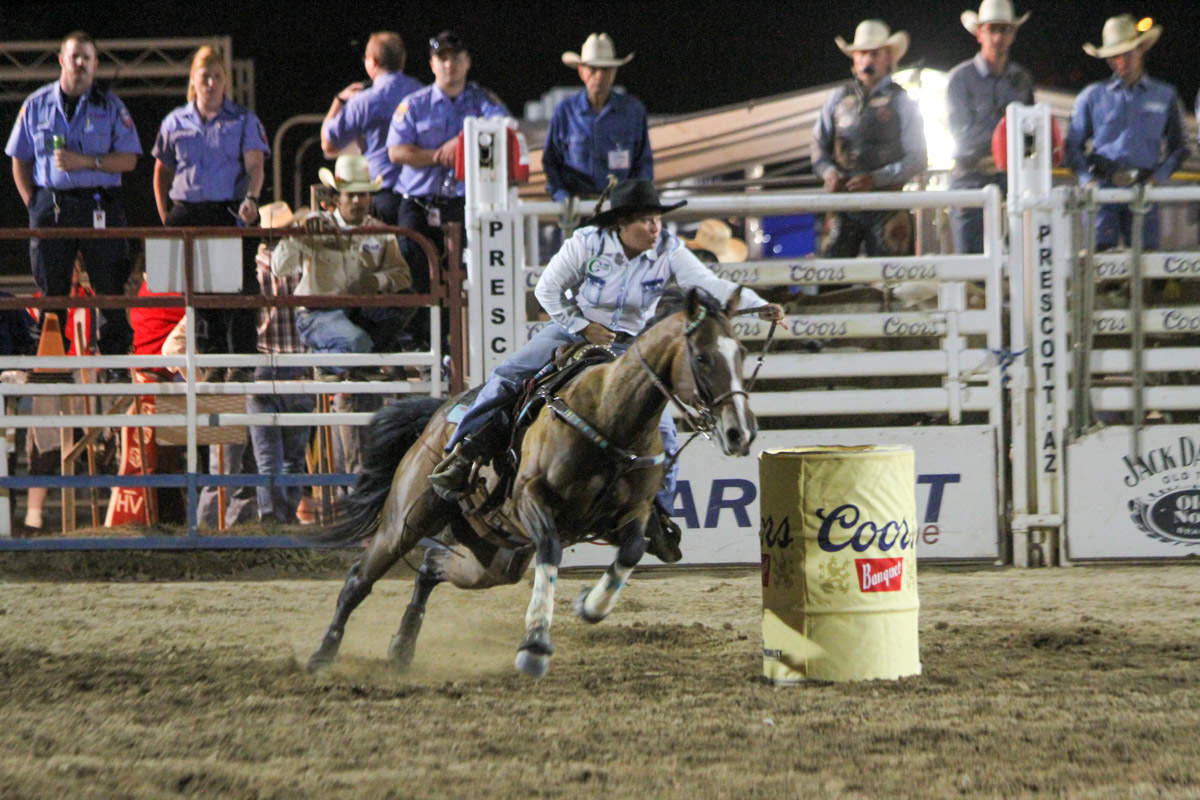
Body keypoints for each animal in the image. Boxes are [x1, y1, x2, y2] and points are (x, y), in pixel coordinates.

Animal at [309, 286, 758, 676]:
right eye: (702, 357)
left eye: (742, 352)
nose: (740, 432)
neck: (610, 416)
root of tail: (438, 416)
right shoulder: (530, 499)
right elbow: (551, 550)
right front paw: (536, 645)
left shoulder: (627, 517)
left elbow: (631, 551)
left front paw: (590, 606)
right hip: (407, 520)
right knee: (359, 579)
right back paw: (322, 655)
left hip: (494, 557)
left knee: (432, 567)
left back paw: (402, 647)